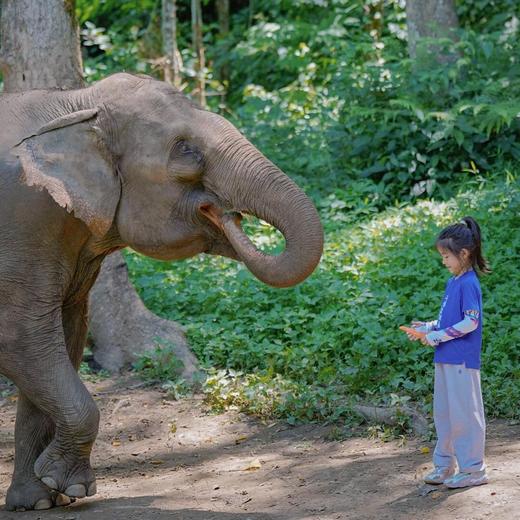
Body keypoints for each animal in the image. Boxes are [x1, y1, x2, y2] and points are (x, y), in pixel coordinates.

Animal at [0, 71, 322, 510]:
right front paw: (71, 487)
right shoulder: (22, 221)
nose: (231, 215)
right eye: (187, 150)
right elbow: (20, 337)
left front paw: (40, 500)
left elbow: (61, 340)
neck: (78, 105)